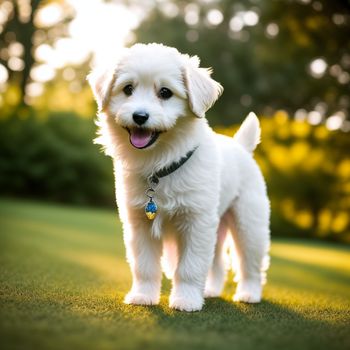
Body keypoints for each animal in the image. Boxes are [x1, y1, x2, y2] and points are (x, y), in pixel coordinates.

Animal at [88, 42, 270, 310]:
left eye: (165, 92)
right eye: (128, 89)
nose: (139, 116)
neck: (160, 163)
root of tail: (241, 147)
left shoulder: (196, 222)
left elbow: (190, 267)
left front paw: (186, 300)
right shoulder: (139, 223)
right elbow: (144, 266)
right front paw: (143, 296)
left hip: (249, 224)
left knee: (250, 264)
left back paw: (249, 293)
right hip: (217, 227)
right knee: (218, 263)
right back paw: (211, 291)